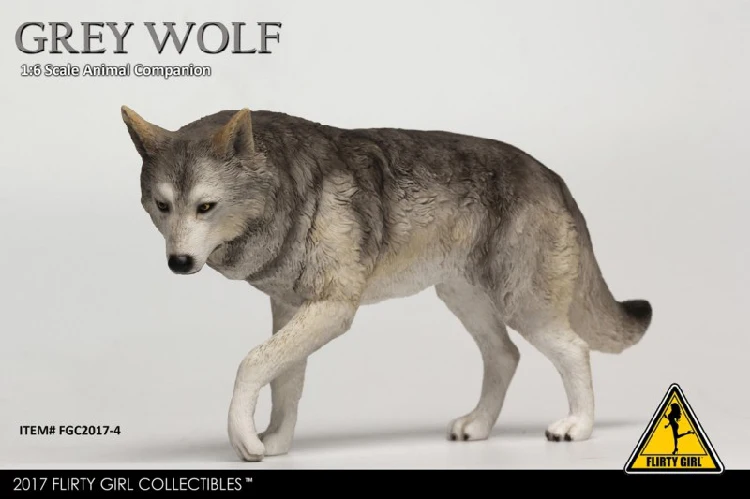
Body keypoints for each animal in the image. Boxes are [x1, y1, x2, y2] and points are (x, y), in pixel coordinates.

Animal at [120, 106, 652, 461]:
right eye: (163, 206)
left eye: (206, 207)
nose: (179, 262)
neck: (289, 191)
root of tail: (553, 176)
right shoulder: (291, 309)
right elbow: (284, 383)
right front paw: (276, 442)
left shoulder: (332, 309)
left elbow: (251, 363)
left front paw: (244, 438)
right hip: (464, 300)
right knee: (505, 356)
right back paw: (478, 426)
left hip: (524, 306)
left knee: (574, 350)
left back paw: (577, 427)